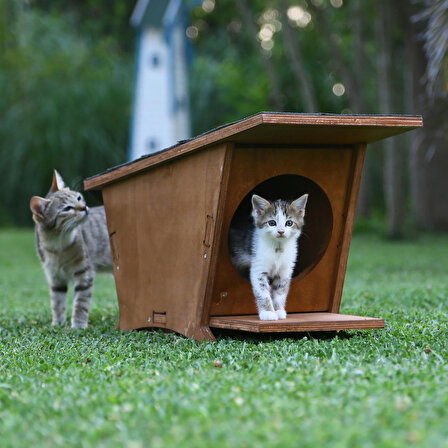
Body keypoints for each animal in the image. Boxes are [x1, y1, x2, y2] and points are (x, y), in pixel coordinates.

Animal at [29, 170, 112, 328]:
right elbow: (57, 302)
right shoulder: (55, 277)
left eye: (79, 197)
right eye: (67, 208)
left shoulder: (84, 273)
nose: (84, 208)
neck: (58, 246)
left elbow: (81, 303)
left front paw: (78, 325)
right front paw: (57, 323)